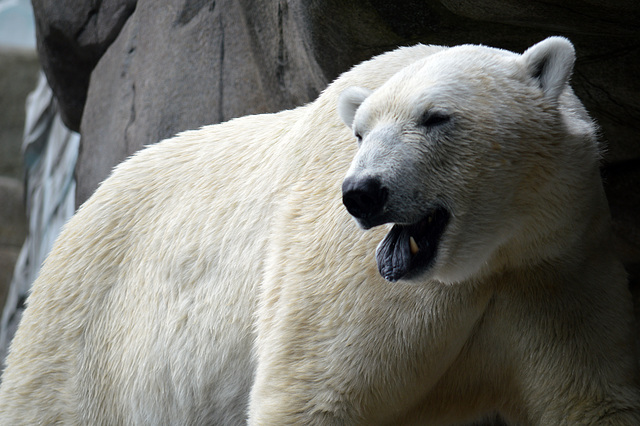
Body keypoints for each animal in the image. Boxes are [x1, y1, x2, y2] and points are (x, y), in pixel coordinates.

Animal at [1, 38, 640, 424]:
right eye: (360, 133)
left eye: (436, 117)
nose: (362, 192)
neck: (483, 258)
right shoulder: (351, 276)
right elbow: (316, 389)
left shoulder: (551, 264)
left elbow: (591, 396)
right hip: (84, 343)